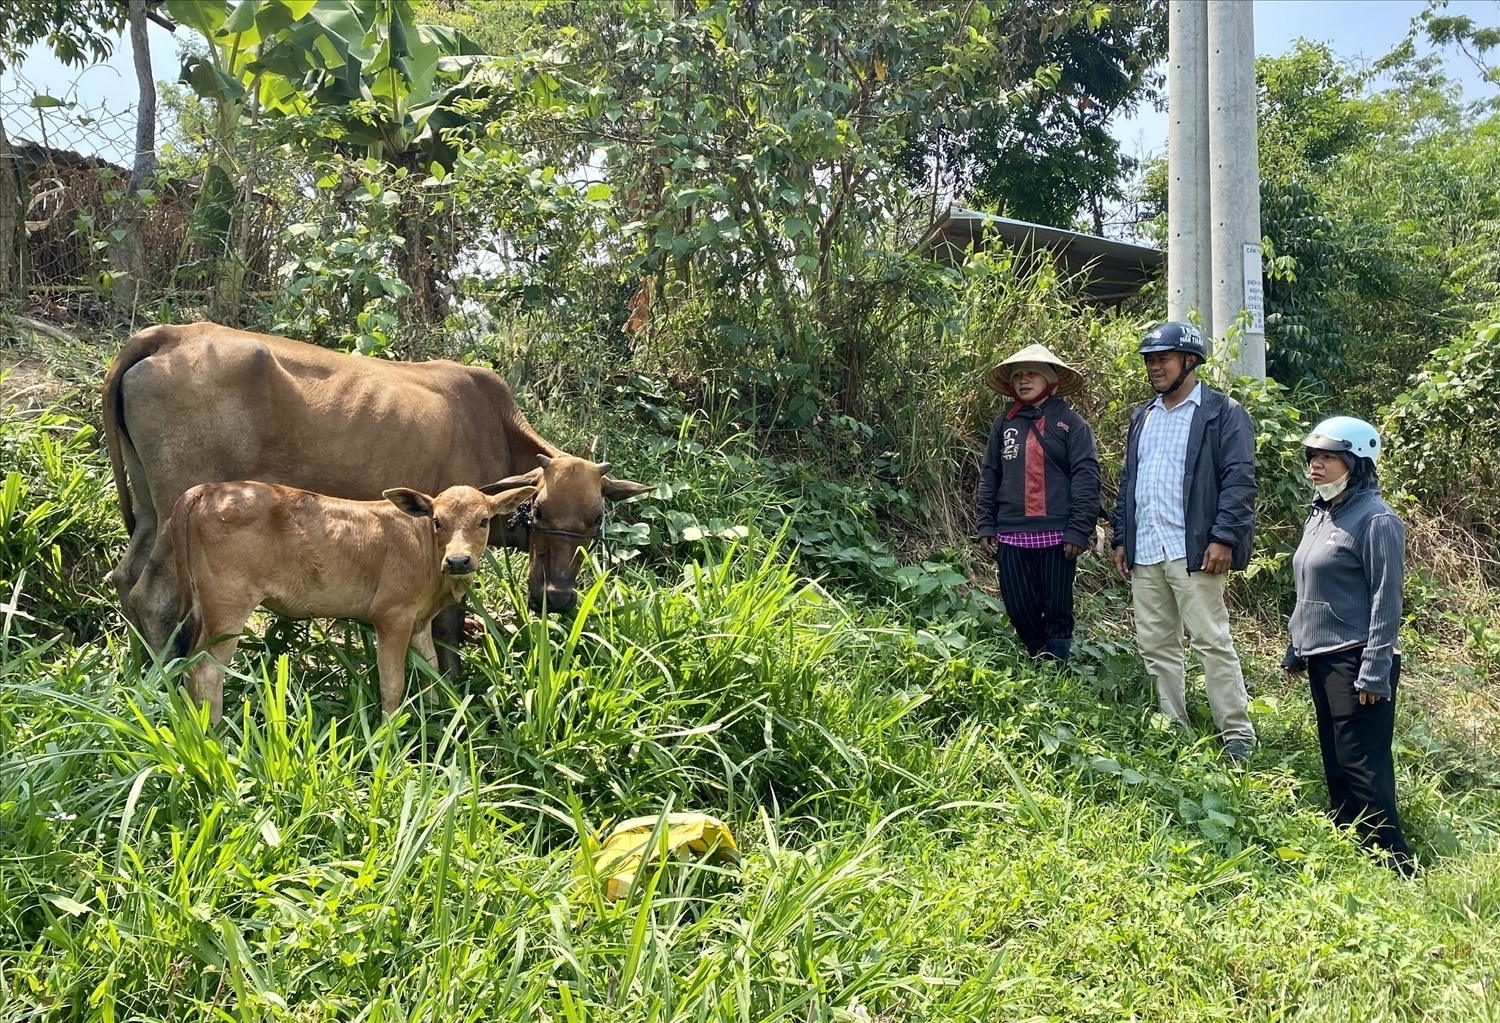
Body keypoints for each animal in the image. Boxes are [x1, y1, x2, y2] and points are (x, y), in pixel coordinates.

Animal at [99, 321, 651, 654]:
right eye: (537, 512)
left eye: (595, 521)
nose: (557, 598)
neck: (496, 429)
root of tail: (171, 333)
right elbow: (447, 630)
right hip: (179, 501)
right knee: (153, 594)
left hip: (149, 507)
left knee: (127, 578)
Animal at [171, 483, 534, 720]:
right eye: (437, 521)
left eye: (483, 520)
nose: (458, 560)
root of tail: (205, 489)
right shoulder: (392, 615)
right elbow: (393, 684)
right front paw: (391, 735)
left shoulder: (419, 621)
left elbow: (431, 672)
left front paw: (434, 719)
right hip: (229, 606)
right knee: (206, 671)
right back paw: (214, 733)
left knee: (188, 665)